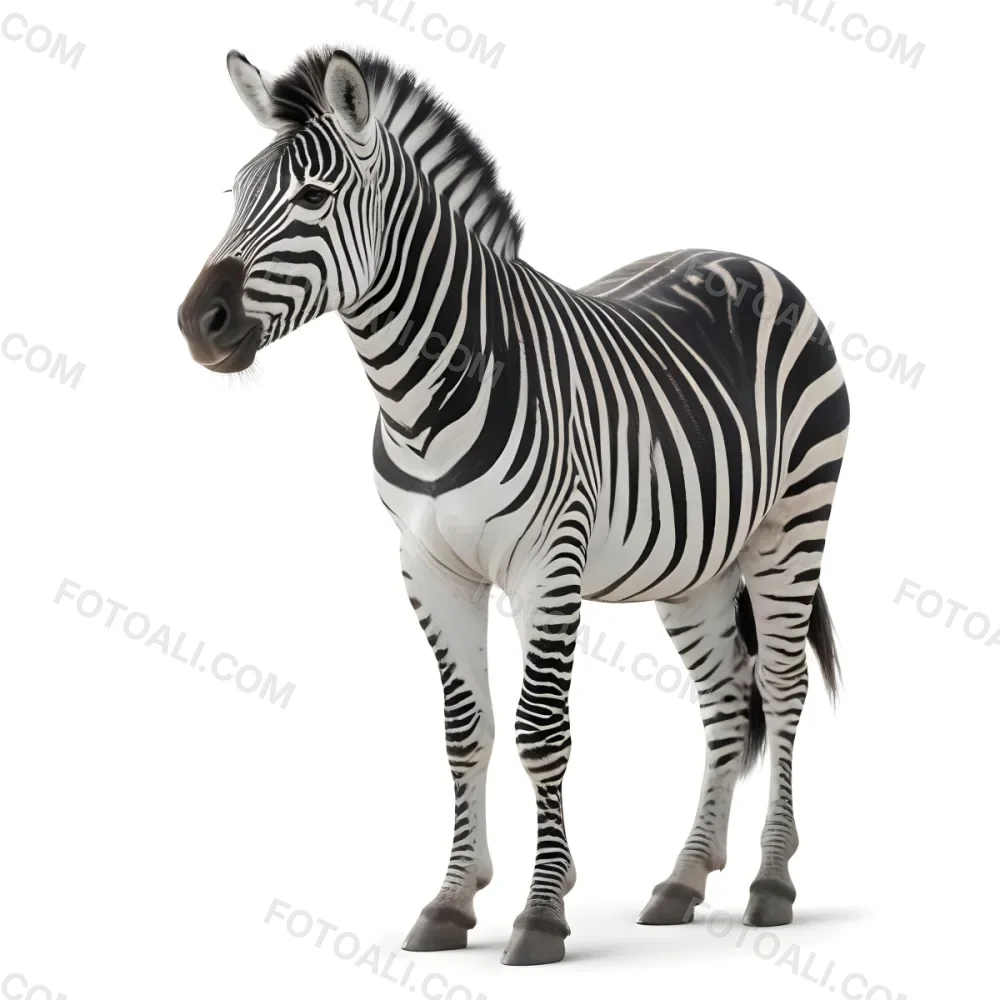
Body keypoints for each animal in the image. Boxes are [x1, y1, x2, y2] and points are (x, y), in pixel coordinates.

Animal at [177, 45, 850, 966]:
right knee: (725, 698)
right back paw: (682, 880)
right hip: (696, 568)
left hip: (793, 524)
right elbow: (467, 731)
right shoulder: (428, 568)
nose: (195, 324)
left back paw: (772, 882)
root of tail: (744, 259)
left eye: (312, 198)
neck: (421, 396)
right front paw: (452, 901)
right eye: (236, 194)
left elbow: (540, 732)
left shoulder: (547, 565)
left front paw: (541, 913)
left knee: (780, 687)